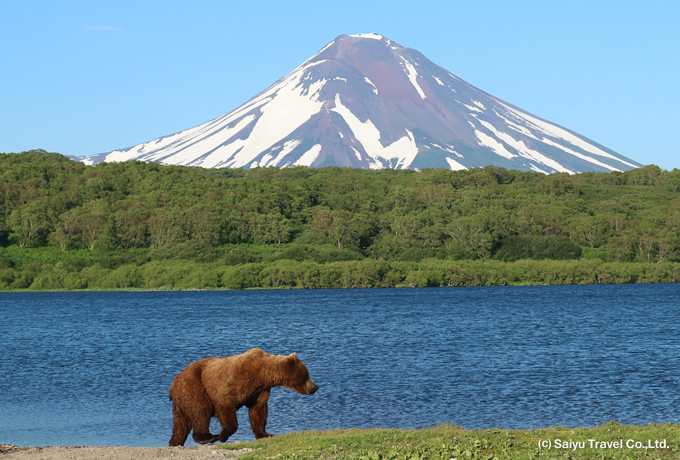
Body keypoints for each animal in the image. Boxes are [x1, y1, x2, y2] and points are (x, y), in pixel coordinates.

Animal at [170, 348, 318, 446]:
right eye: (307, 375)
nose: (315, 387)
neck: (263, 373)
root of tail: (174, 382)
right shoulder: (236, 380)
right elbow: (225, 403)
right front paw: (223, 435)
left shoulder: (259, 390)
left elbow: (258, 410)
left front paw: (266, 434)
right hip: (194, 385)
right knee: (201, 410)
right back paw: (208, 437)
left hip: (181, 401)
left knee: (181, 424)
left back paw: (175, 442)